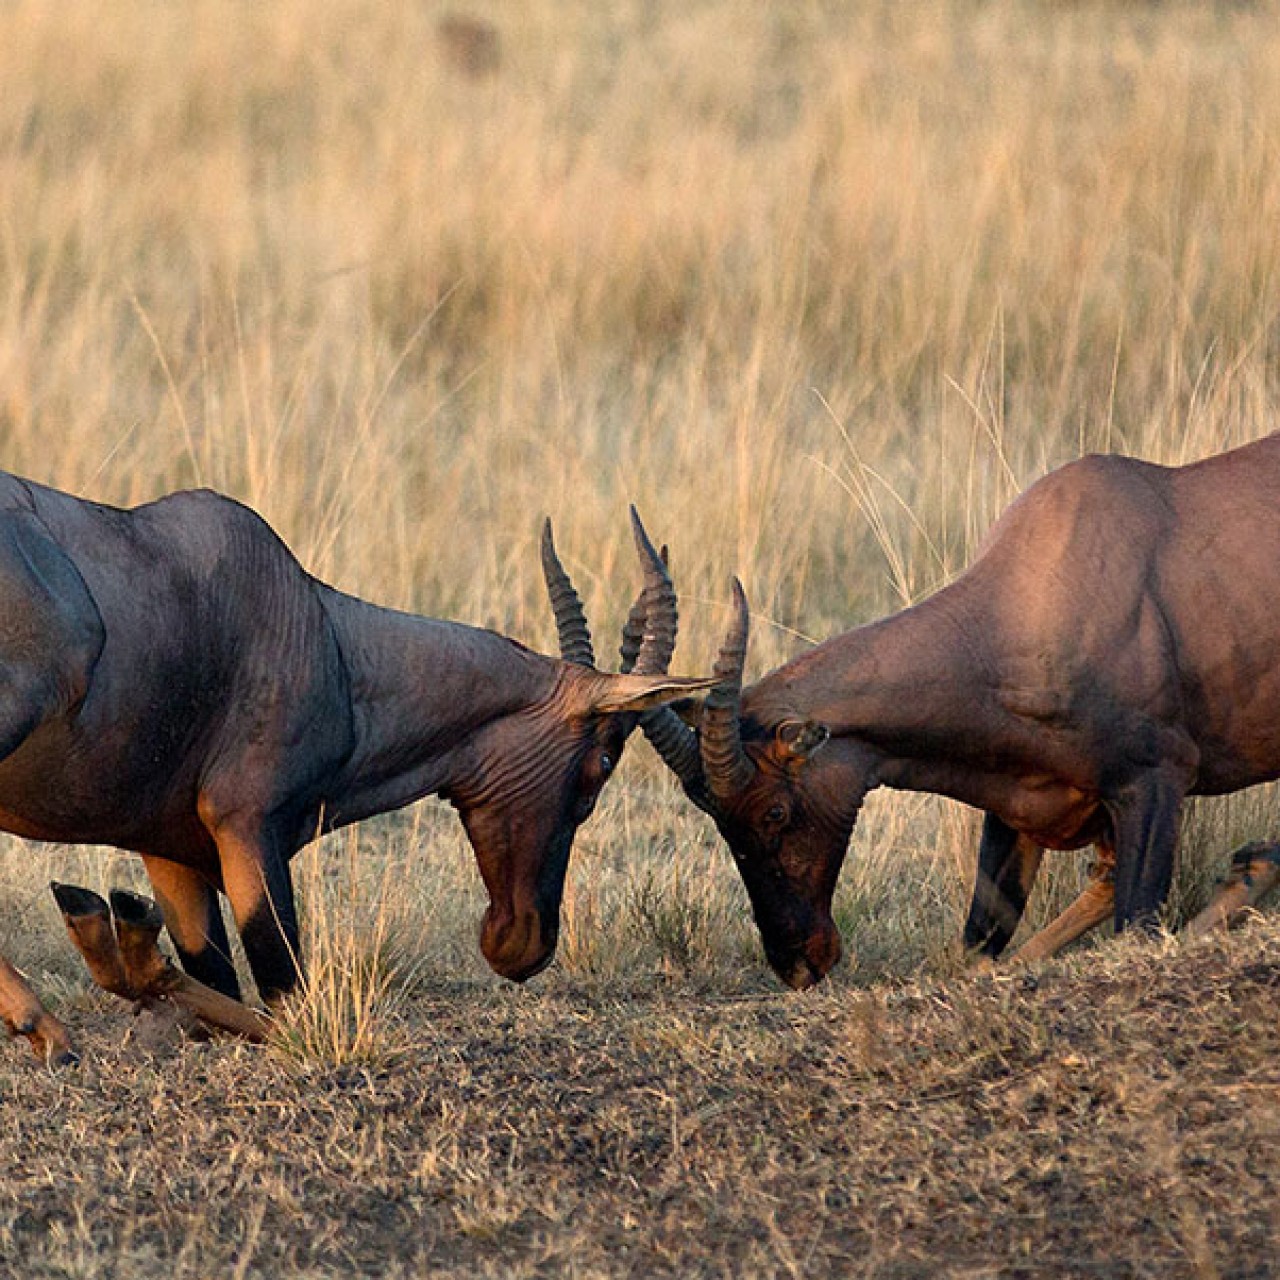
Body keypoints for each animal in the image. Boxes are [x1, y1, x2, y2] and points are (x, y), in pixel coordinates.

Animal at [0, 476, 711, 1064]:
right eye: (600, 765)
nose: (522, 945)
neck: (327, 636)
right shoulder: (247, 827)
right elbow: (283, 1004)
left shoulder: (170, 854)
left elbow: (203, 987)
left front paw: (108, 935)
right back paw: (46, 1027)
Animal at [645, 435, 1280, 983]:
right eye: (717, 820)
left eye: (774, 811)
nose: (798, 961)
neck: (1030, 598)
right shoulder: (1018, 806)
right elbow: (981, 945)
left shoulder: (1154, 781)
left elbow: (1135, 925)